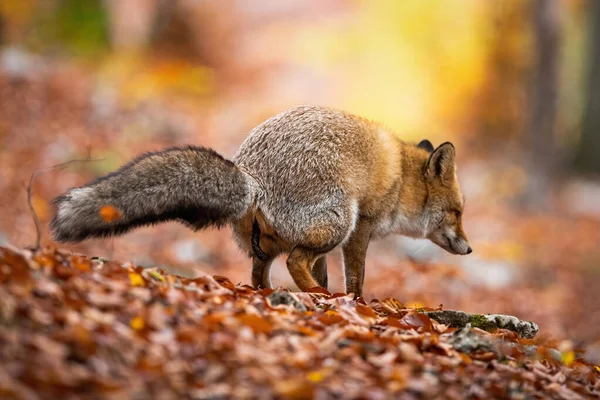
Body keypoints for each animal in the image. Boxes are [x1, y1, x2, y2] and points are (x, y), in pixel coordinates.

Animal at [51, 105, 472, 296]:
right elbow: (356, 277)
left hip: (272, 242)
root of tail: (252, 176)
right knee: (295, 262)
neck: (401, 178)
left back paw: (279, 294)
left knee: (262, 273)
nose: (469, 249)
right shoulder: (361, 228)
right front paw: (357, 304)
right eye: (457, 212)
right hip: (338, 221)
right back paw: (319, 296)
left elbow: (327, 270)